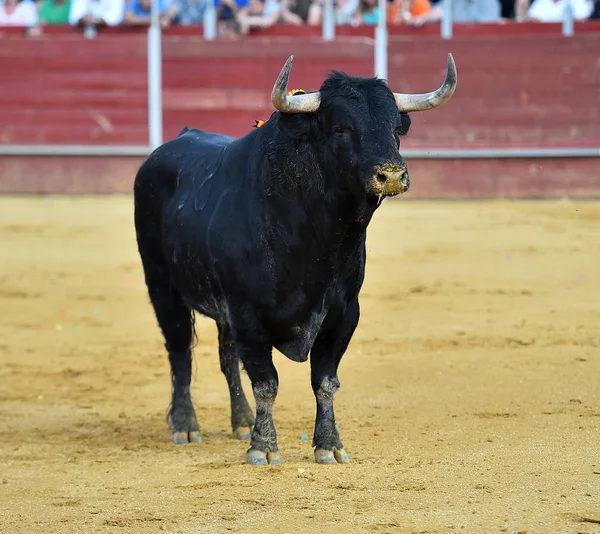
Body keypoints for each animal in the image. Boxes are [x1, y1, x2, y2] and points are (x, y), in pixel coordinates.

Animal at [132, 53, 460, 464]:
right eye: (340, 128)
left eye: (395, 128)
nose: (391, 175)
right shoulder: (248, 313)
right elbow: (266, 382)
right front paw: (264, 448)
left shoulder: (343, 312)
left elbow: (325, 381)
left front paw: (329, 445)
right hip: (161, 284)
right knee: (179, 352)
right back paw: (185, 425)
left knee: (226, 357)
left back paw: (241, 421)